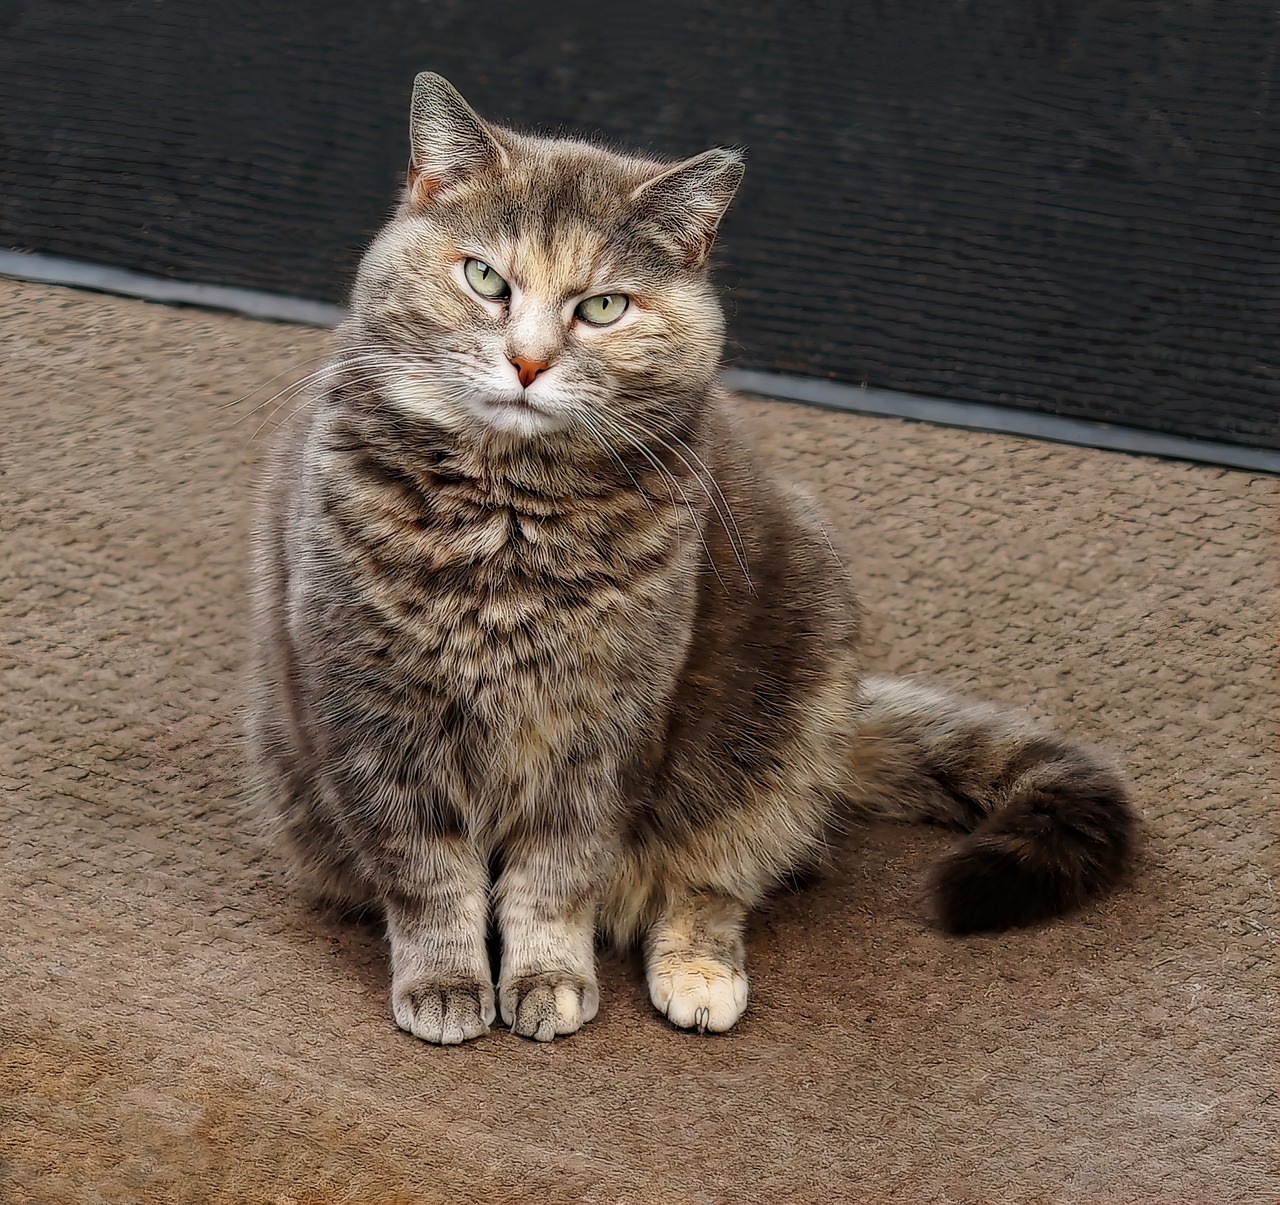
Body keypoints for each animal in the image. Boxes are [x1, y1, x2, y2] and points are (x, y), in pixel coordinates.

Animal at [244, 72, 1136, 1044]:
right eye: (485, 277)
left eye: (602, 306)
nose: (527, 361)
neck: (508, 521)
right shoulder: (373, 709)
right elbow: (425, 872)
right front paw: (445, 981)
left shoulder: (607, 724)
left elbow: (556, 877)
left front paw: (548, 975)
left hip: (781, 723)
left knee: (717, 877)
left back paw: (699, 973)